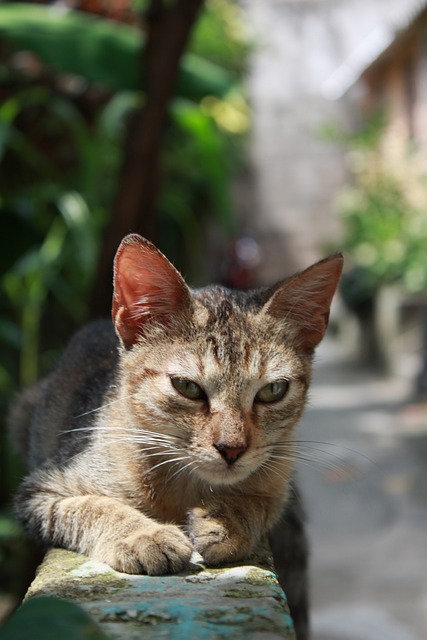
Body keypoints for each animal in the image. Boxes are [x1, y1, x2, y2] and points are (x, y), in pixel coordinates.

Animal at [9, 235, 344, 640]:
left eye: (272, 391)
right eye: (187, 387)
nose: (232, 448)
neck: (185, 483)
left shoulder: (280, 480)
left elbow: (262, 502)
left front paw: (228, 520)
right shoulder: (41, 489)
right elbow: (90, 507)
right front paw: (143, 536)